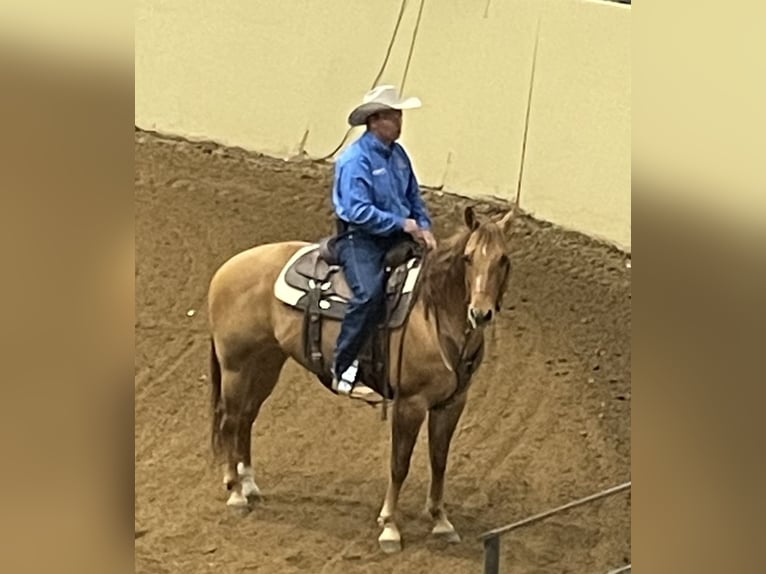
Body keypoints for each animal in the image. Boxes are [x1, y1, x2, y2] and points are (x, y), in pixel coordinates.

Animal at [207, 206, 512, 552]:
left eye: (503, 259)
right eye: (468, 258)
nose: (481, 313)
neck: (431, 315)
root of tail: (226, 270)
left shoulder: (452, 403)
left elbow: (439, 460)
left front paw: (440, 520)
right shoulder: (410, 403)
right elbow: (399, 464)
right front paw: (390, 525)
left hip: (266, 363)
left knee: (246, 418)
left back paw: (249, 484)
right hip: (235, 367)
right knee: (230, 420)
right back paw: (235, 493)